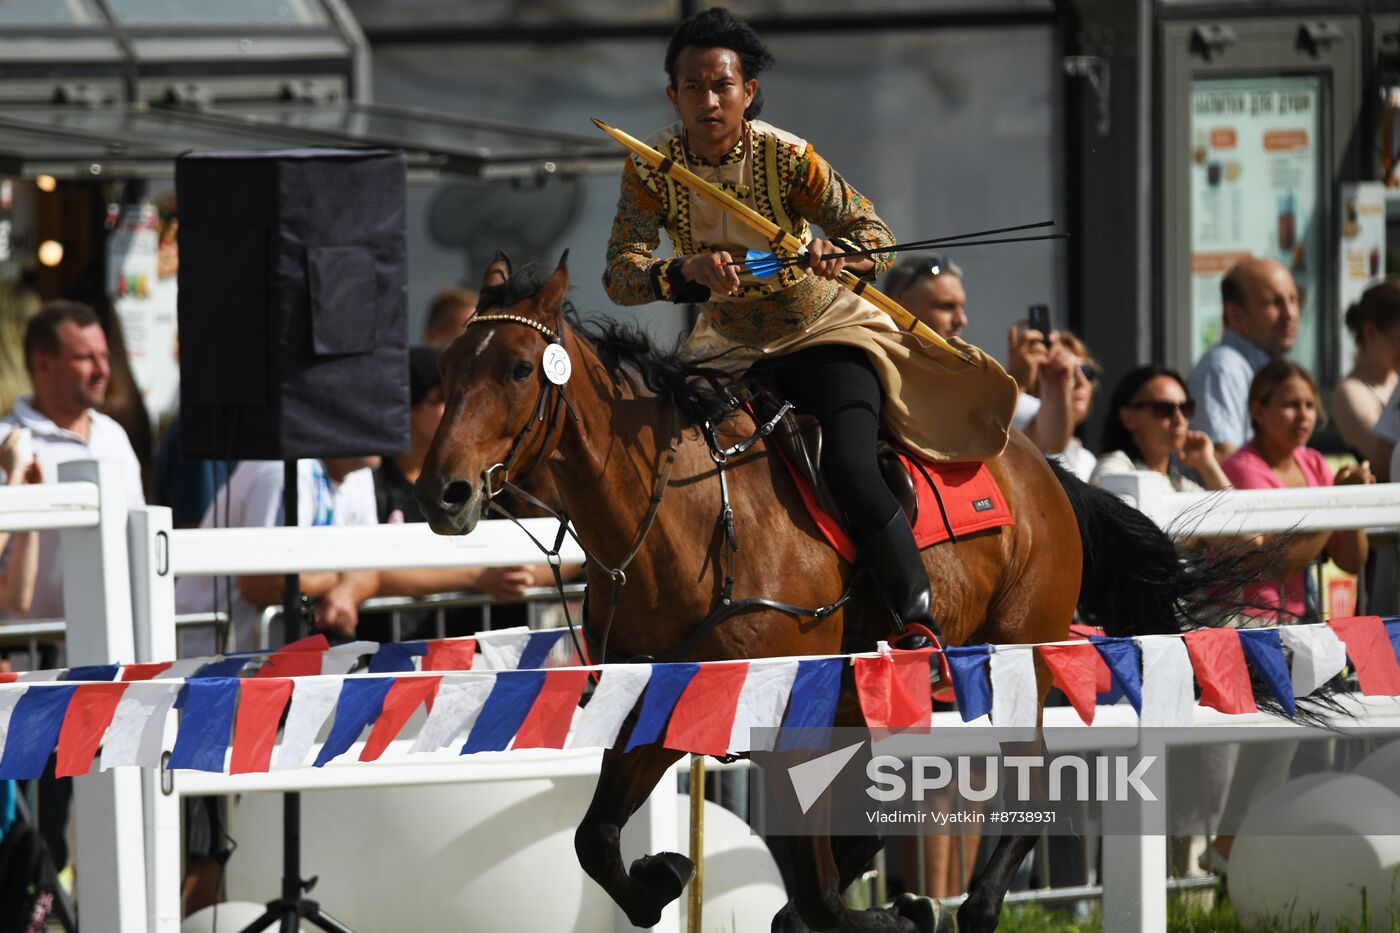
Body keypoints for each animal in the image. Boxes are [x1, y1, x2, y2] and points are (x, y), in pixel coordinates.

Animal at [414, 254, 1260, 930]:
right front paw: (664, 876)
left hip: (1017, 654)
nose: (442, 492)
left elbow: (819, 895)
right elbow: (597, 839)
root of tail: (1044, 465)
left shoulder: (785, 718)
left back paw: (976, 905)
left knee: (1034, 778)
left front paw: (899, 911)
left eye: (518, 368)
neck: (689, 519)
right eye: (445, 370)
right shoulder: (666, 698)